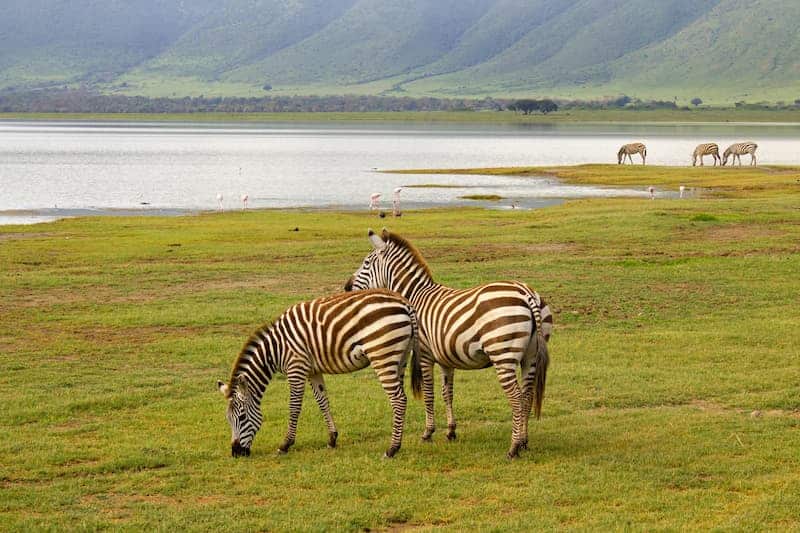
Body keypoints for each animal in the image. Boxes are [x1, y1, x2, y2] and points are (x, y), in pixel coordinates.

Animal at [216, 289, 420, 459]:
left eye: (242, 417)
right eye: (228, 419)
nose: (236, 453)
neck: (275, 349)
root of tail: (405, 304)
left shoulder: (296, 367)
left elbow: (294, 407)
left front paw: (285, 444)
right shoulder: (313, 371)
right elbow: (323, 402)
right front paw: (332, 438)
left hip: (382, 355)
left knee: (398, 399)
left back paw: (392, 449)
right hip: (400, 358)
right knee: (401, 397)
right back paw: (397, 444)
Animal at [344, 229, 553, 459]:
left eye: (366, 262)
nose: (346, 287)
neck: (414, 296)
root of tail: (527, 293)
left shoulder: (425, 355)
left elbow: (429, 394)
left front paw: (428, 433)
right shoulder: (446, 358)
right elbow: (447, 393)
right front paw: (451, 431)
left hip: (503, 355)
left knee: (516, 397)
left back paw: (513, 447)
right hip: (530, 357)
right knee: (527, 395)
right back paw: (524, 441)